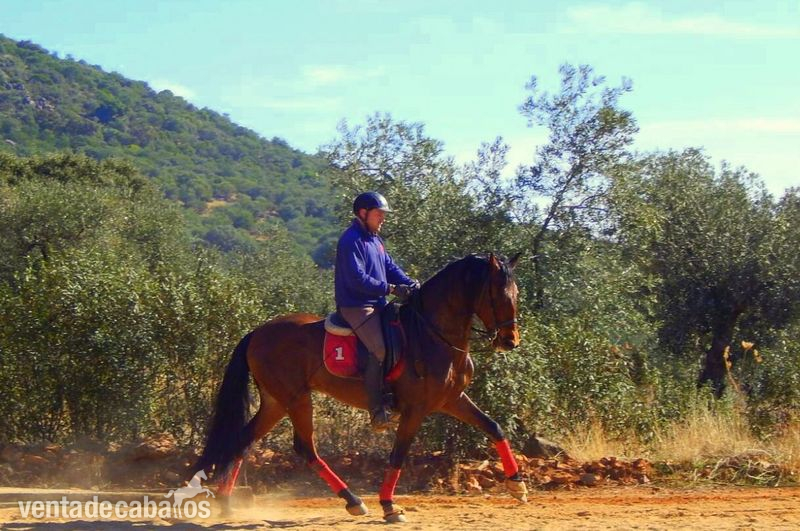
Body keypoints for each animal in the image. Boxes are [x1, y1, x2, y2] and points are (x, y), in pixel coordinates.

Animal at [194, 252, 527, 523]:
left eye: (515, 293)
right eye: (497, 295)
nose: (510, 341)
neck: (433, 333)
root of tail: (257, 333)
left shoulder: (452, 399)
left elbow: (494, 427)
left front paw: (517, 484)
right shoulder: (415, 410)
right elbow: (398, 455)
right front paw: (389, 506)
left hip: (275, 402)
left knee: (243, 441)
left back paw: (226, 503)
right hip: (296, 399)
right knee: (305, 448)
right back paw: (353, 501)